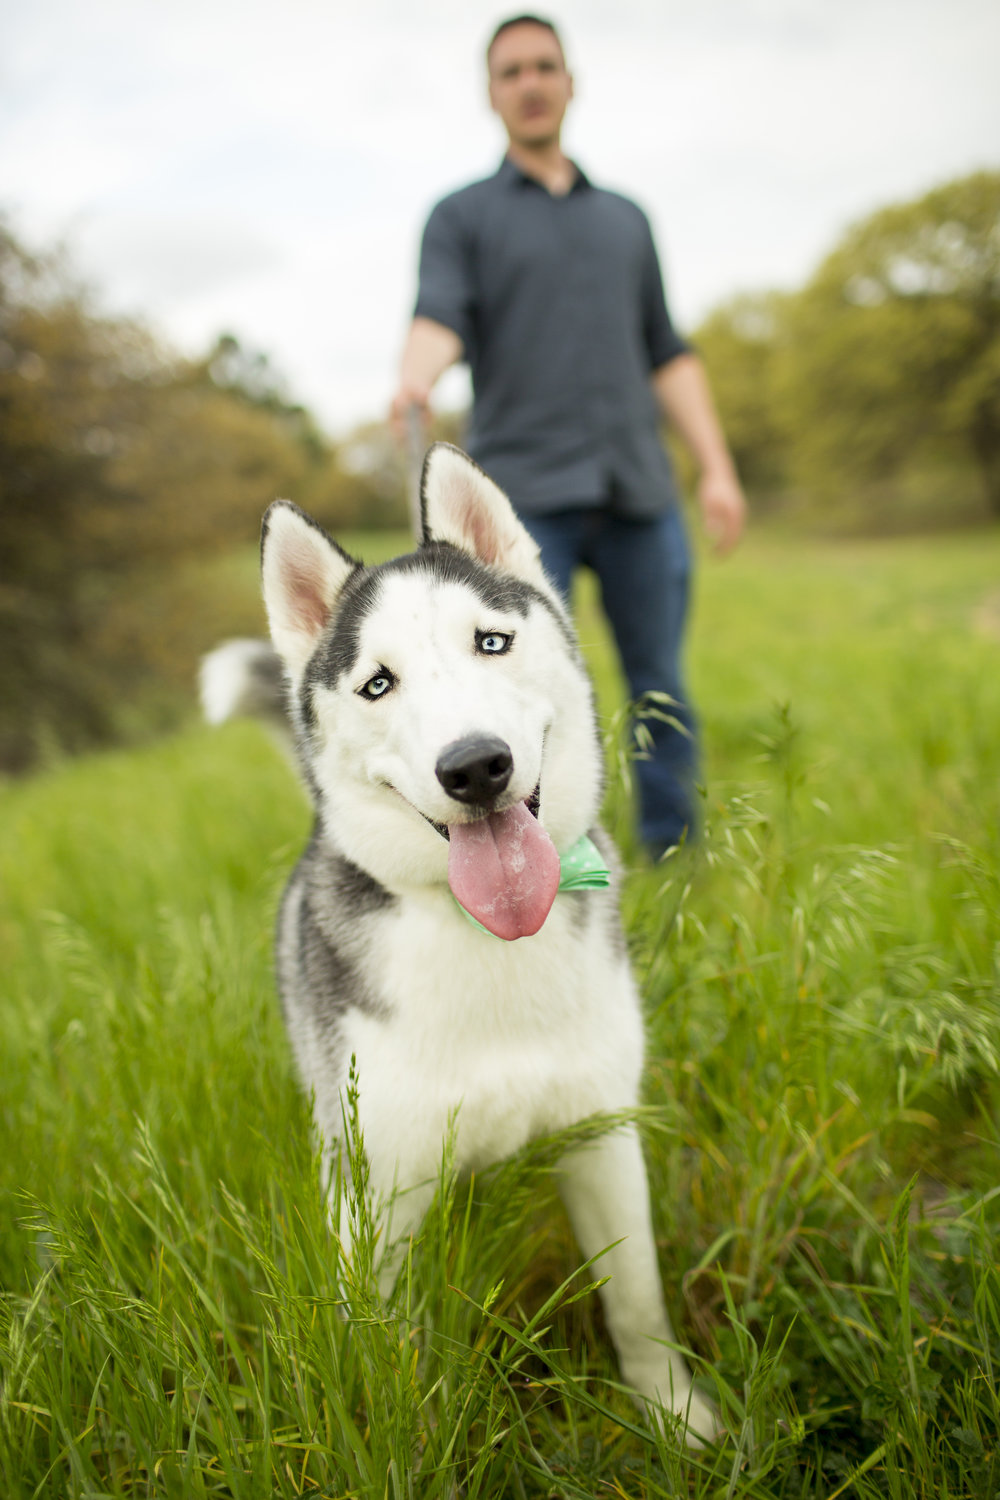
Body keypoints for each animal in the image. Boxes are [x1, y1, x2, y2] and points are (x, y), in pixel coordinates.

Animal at [203, 441, 716, 1440]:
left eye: (491, 642)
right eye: (378, 683)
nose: (475, 765)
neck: (489, 940)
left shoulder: (601, 1135)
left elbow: (636, 1299)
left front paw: (675, 1416)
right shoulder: (375, 1197)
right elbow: (387, 1350)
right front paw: (406, 1436)